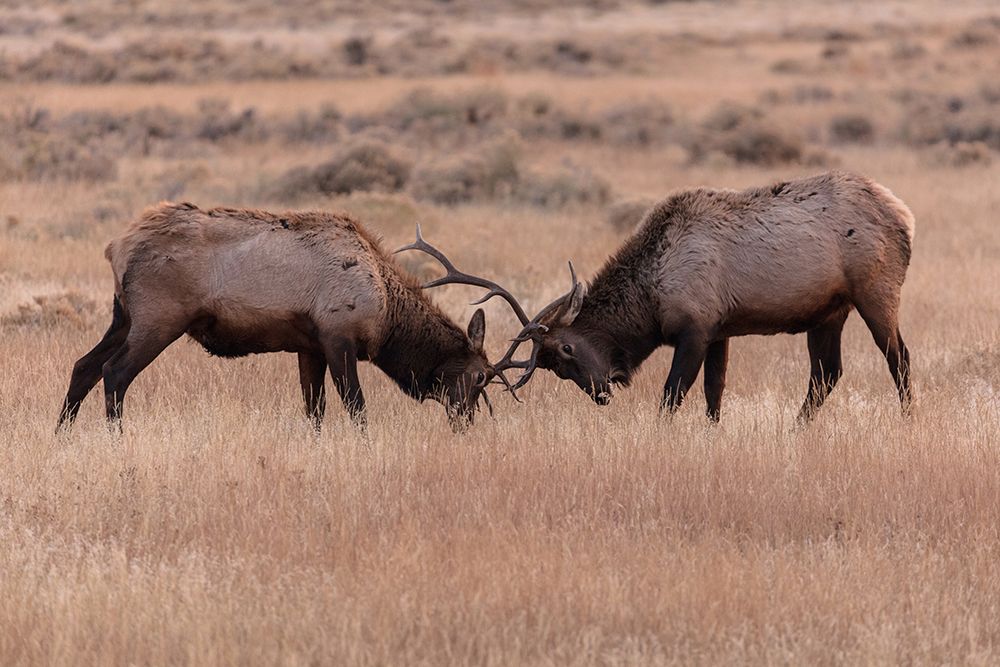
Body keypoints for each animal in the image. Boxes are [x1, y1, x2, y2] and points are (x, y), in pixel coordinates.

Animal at [56, 203, 521, 433]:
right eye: (480, 377)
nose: (466, 423)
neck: (387, 317)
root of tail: (116, 247)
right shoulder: (338, 337)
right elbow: (356, 407)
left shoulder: (308, 347)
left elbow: (314, 409)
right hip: (159, 318)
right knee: (114, 372)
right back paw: (115, 439)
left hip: (122, 316)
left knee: (83, 366)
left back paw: (62, 436)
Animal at [480, 171, 916, 421]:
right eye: (553, 367)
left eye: (566, 349)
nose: (601, 393)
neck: (650, 298)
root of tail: (905, 215)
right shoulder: (720, 330)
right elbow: (713, 392)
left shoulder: (695, 329)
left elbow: (672, 395)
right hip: (828, 312)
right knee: (826, 373)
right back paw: (796, 428)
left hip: (875, 291)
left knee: (899, 358)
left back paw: (908, 419)